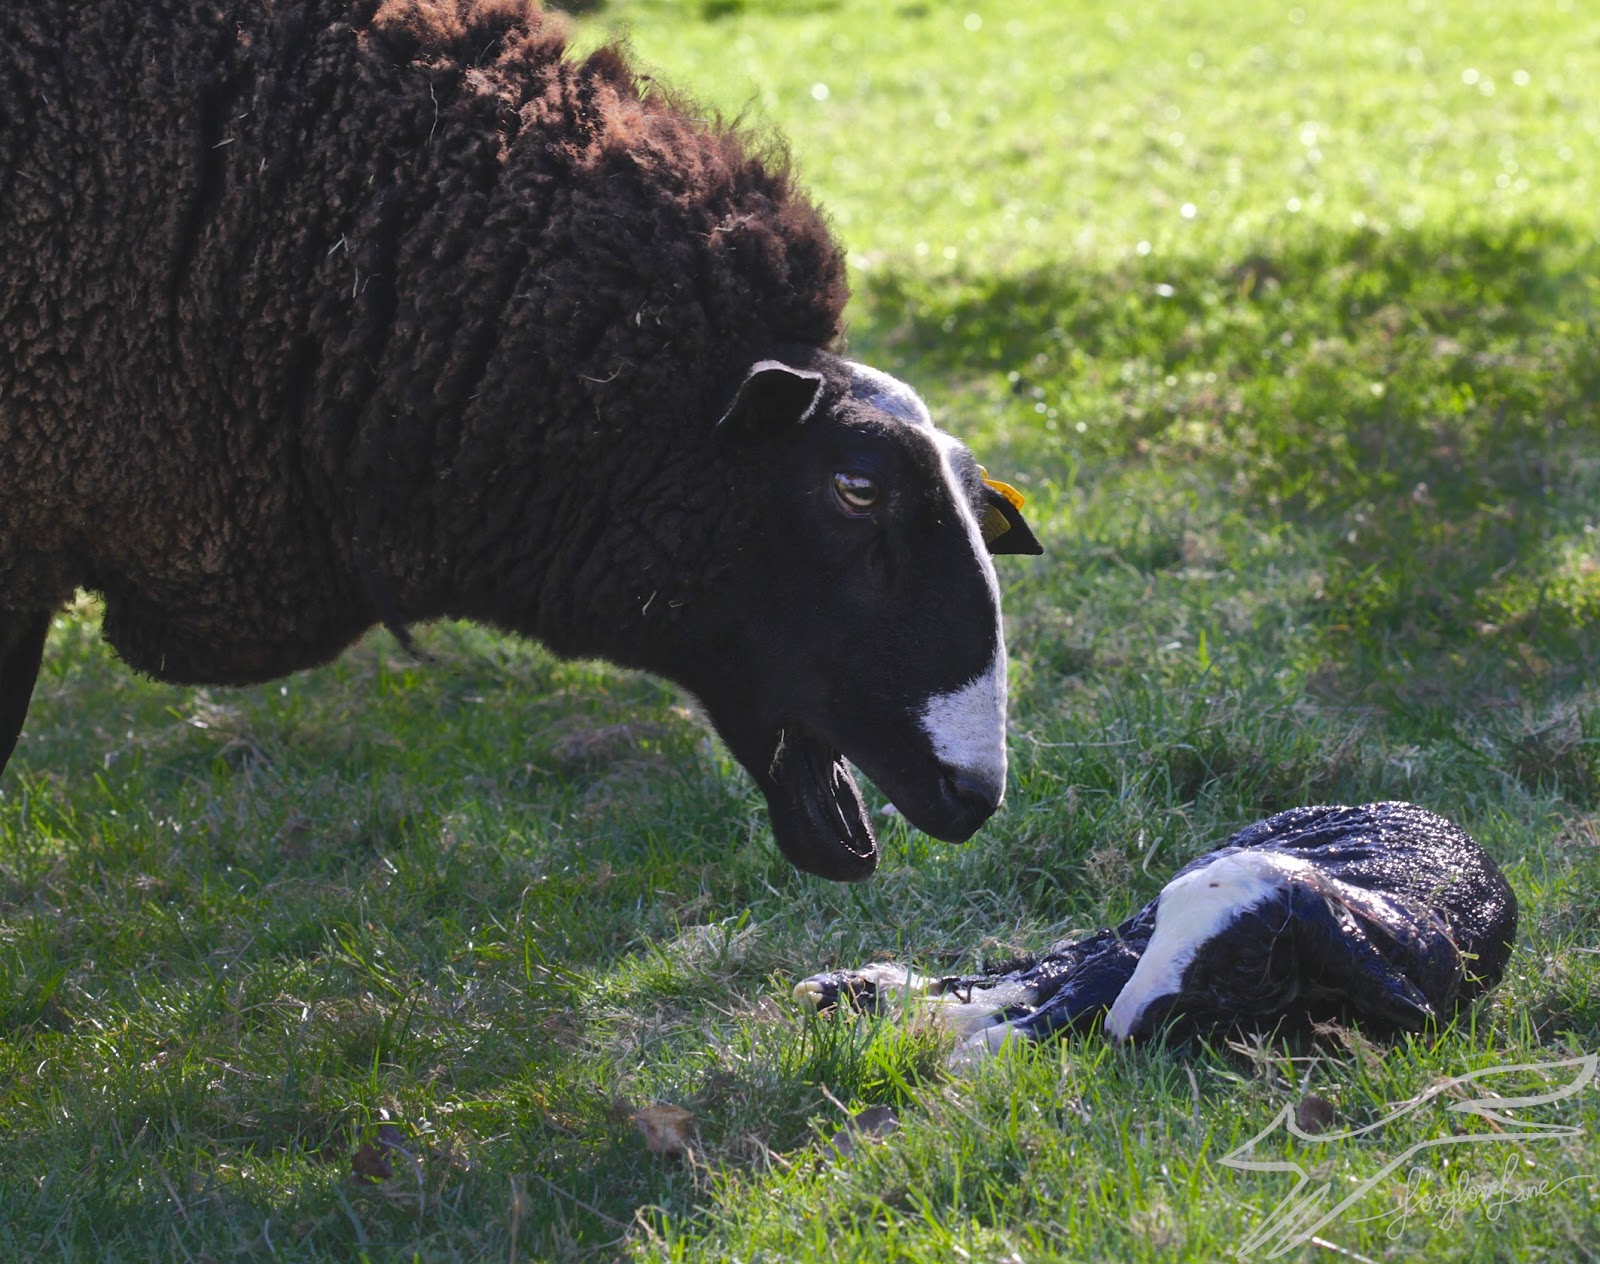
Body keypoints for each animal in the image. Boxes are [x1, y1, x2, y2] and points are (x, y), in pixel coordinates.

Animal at [800, 803, 1510, 1062]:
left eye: (1245, 963)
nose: (1127, 1026)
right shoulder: (1137, 947)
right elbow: (1062, 993)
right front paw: (966, 1053)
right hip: (1130, 930)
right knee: (1055, 967)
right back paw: (853, 990)